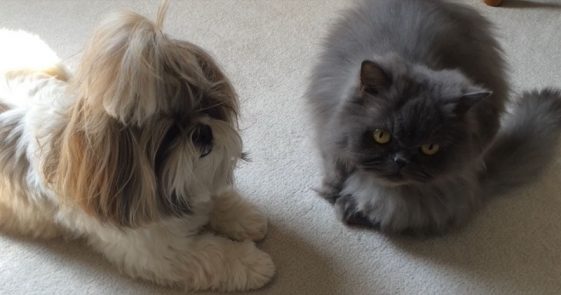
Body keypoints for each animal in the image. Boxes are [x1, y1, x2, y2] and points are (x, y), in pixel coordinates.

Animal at [0, 0, 274, 292]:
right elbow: (213, 255)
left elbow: (220, 198)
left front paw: (245, 217)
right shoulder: (161, 253)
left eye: (206, 106)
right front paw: (253, 263)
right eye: (169, 132)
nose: (203, 132)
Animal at [306, 0, 560, 236]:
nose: (401, 160)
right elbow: (337, 171)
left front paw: (346, 203)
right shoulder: (330, 139)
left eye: (429, 148)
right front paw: (332, 192)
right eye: (381, 136)